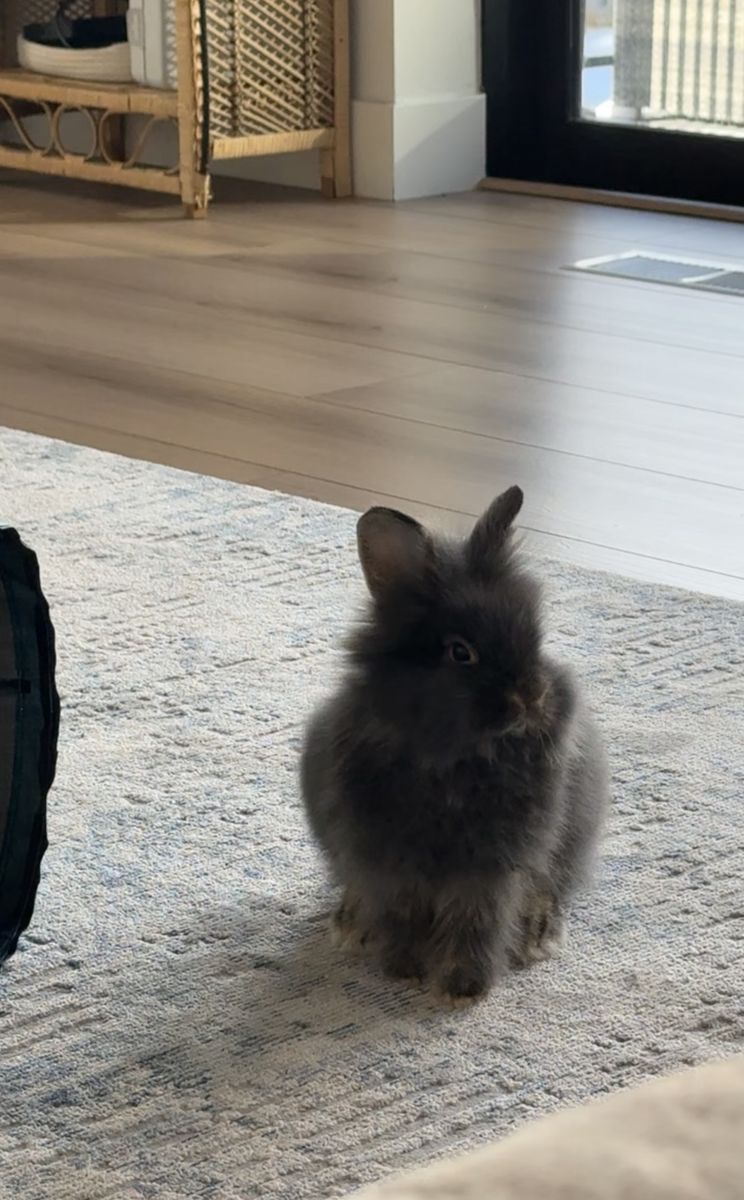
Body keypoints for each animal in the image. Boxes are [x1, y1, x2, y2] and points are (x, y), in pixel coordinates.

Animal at [300, 486, 608, 1007]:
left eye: (536, 640)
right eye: (460, 653)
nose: (532, 699)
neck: (454, 758)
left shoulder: (491, 868)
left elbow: (476, 921)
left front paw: (463, 988)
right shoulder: (387, 858)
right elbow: (400, 911)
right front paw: (403, 971)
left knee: (552, 884)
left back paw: (538, 933)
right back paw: (351, 924)